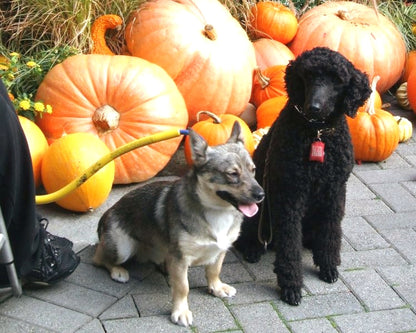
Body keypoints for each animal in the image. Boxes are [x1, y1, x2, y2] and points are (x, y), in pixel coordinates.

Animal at [93, 121, 264, 324]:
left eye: (253, 170)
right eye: (232, 174)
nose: (261, 194)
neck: (217, 212)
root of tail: (106, 214)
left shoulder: (220, 250)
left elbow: (214, 271)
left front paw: (216, 287)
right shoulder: (181, 258)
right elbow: (183, 287)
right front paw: (181, 311)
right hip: (123, 248)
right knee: (99, 258)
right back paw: (118, 271)